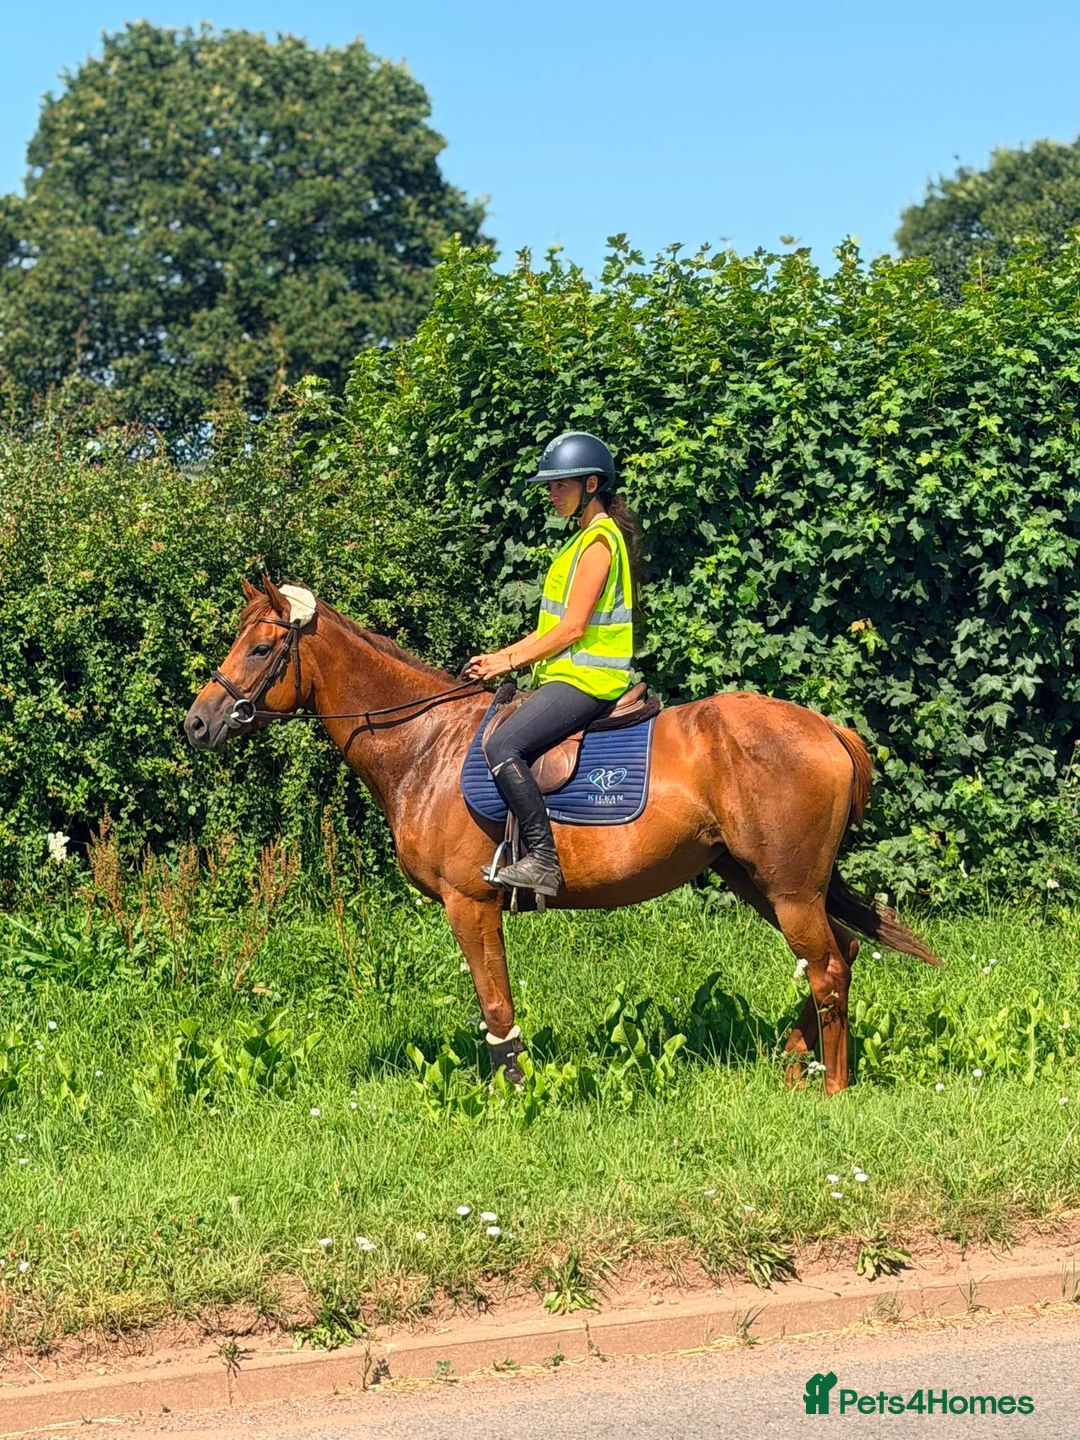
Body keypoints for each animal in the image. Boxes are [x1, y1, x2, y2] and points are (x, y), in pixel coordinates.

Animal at [183, 578, 939, 1095]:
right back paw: (792, 1064)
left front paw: (514, 1097)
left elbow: (495, 1006)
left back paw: (832, 1087)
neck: (425, 744)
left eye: (260, 647)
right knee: (834, 957)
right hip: (762, 881)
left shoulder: (470, 904)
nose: (196, 724)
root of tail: (828, 729)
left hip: (787, 886)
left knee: (829, 966)